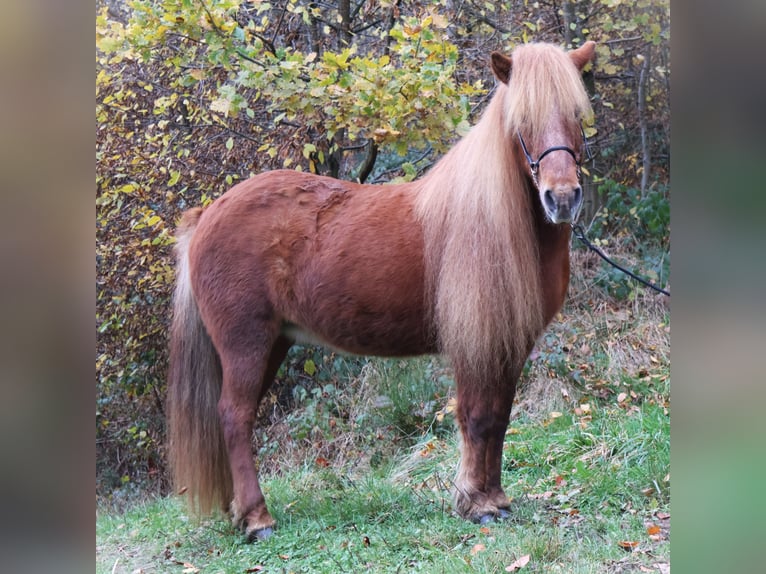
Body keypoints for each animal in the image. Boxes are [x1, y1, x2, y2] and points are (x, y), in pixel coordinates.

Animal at [170, 42, 600, 544]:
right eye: (521, 122)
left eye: (577, 113)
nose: (562, 198)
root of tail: (206, 216)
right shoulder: (475, 341)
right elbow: (477, 416)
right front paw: (476, 504)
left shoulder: (509, 343)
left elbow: (499, 417)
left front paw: (494, 498)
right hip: (246, 344)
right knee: (235, 417)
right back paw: (259, 520)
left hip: (272, 344)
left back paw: (239, 512)